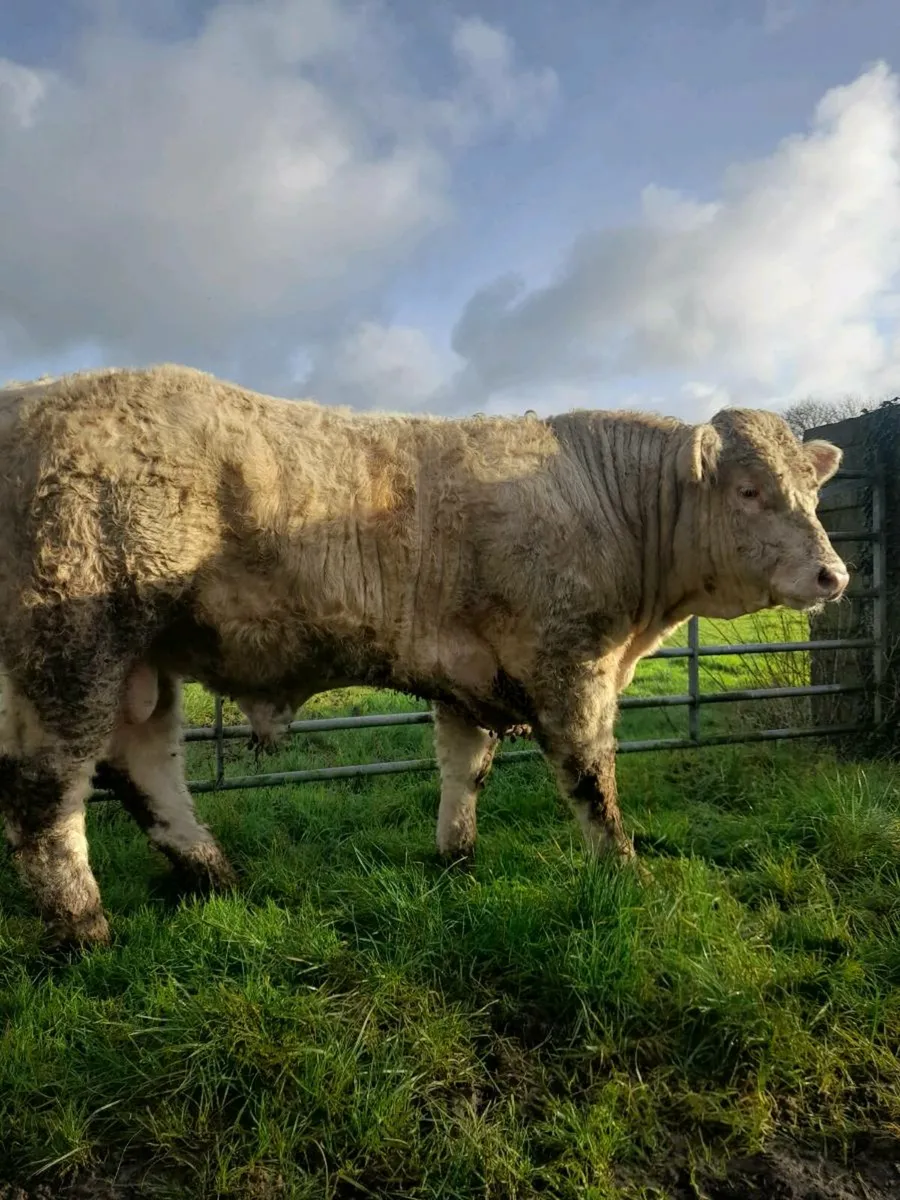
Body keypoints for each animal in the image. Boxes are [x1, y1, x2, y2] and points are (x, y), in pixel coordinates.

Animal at [0, 365, 848, 949]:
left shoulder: (469, 675)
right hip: (72, 643)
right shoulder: (568, 661)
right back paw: (85, 931)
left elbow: (463, 769)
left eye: (811, 492)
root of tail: (29, 398)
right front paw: (624, 870)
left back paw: (216, 877)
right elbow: (589, 777)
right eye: (748, 491)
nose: (832, 574)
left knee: (143, 766)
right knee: (46, 795)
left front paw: (455, 859)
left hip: (145, 664)